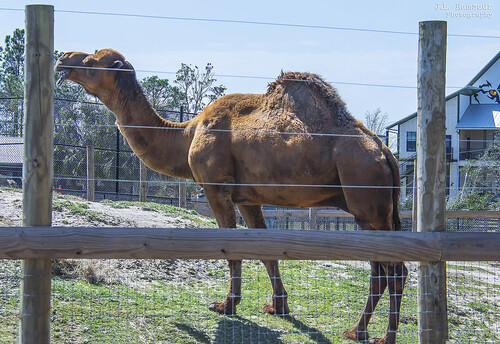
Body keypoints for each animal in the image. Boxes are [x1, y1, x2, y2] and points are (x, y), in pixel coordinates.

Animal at [54, 49, 406, 344]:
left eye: (92, 61)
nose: (63, 57)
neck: (187, 133)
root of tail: (386, 152)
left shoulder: (215, 185)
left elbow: (231, 247)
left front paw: (226, 305)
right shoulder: (248, 197)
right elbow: (265, 250)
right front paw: (277, 307)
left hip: (367, 199)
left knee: (395, 269)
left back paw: (383, 336)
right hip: (372, 210)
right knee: (381, 271)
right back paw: (357, 331)